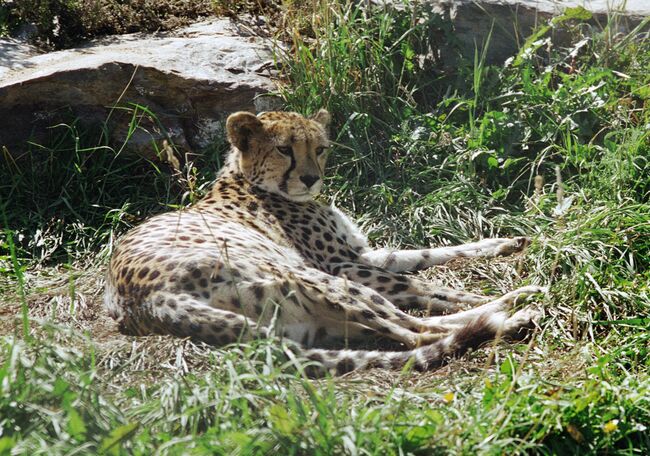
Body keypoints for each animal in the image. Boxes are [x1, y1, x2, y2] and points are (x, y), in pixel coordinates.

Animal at [105, 109, 540, 374]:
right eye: (284, 149)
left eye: (320, 148)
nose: (312, 178)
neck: (247, 178)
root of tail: (145, 302)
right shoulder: (342, 264)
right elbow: (428, 285)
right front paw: (486, 290)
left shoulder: (361, 255)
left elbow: (429, 253)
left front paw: (504, 242)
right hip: (315, 280)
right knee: (417, 332)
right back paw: (511, 309)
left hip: (317, 321)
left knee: (407, 327)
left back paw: (510, 307)